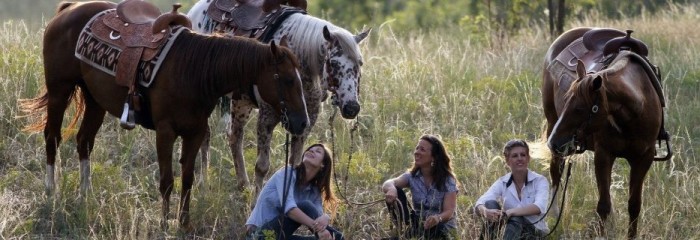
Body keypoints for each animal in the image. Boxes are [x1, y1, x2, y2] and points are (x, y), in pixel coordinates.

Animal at [20, 0, 308, 229]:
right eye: (287, 80)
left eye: (300, 78)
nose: (302, 122)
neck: (195, 70)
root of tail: (70, 8)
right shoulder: (165, 131)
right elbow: (167, 180)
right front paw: (163, 221)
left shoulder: (195, 133)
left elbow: (188, 178)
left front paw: (184, 222)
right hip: (59, 90)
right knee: (52, 137)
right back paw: (51, 191)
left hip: (94, 101)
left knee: (84, 142)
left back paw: (85, 195)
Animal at [186, 0, 372, 192]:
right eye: (333, 63)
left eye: (360, 63)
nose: (352, 107)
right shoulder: (267, 116)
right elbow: (262, 166)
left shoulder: (307, 118)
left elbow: (296, 162)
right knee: (207, 135)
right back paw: (204, 181)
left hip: (241, 102)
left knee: (234, 136)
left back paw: (243, 184)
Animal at [544, 26, 668, 238]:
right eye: (566, 99)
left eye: (579, 108)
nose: (554, 142)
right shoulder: (603, 155)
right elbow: (603, 205)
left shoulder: (643, 158)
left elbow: (634, 205)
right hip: (552, 123)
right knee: (556, 169)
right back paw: (552, 215)